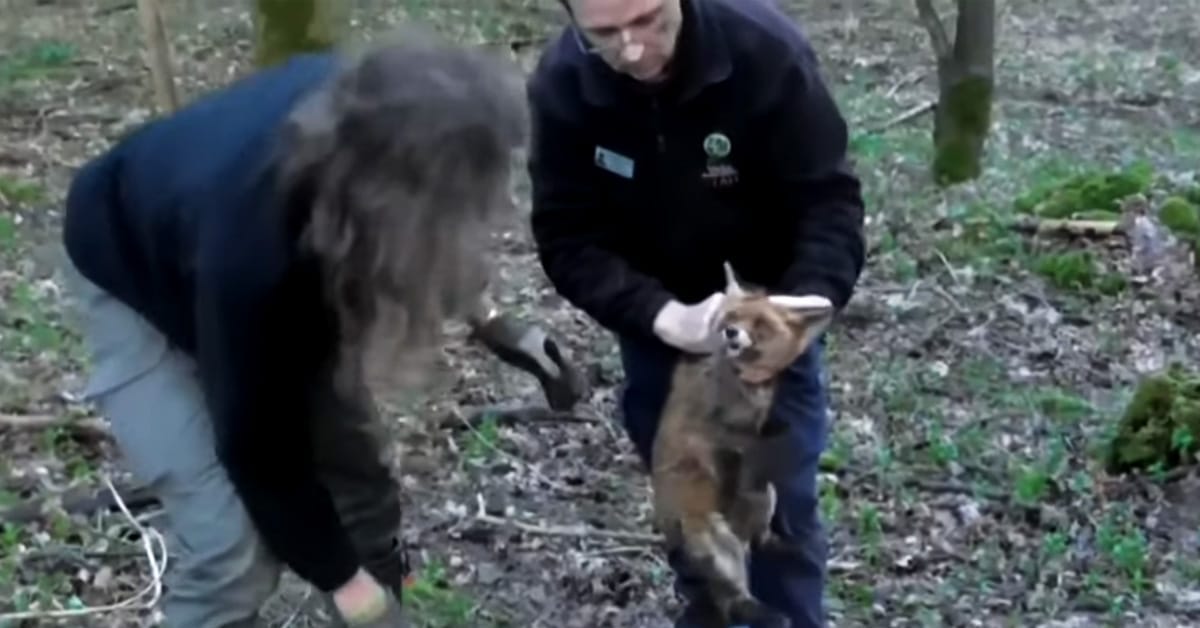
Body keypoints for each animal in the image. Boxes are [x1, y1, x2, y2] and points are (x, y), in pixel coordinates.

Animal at [648, 262, 835, 628]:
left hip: (765, 497)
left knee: (760, 544)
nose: (732, 333)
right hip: (720, 542)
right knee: (734, 598)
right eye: (730, 316)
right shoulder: (721, 427)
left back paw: (784, 549)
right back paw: (768, 614)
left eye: (760, 324)